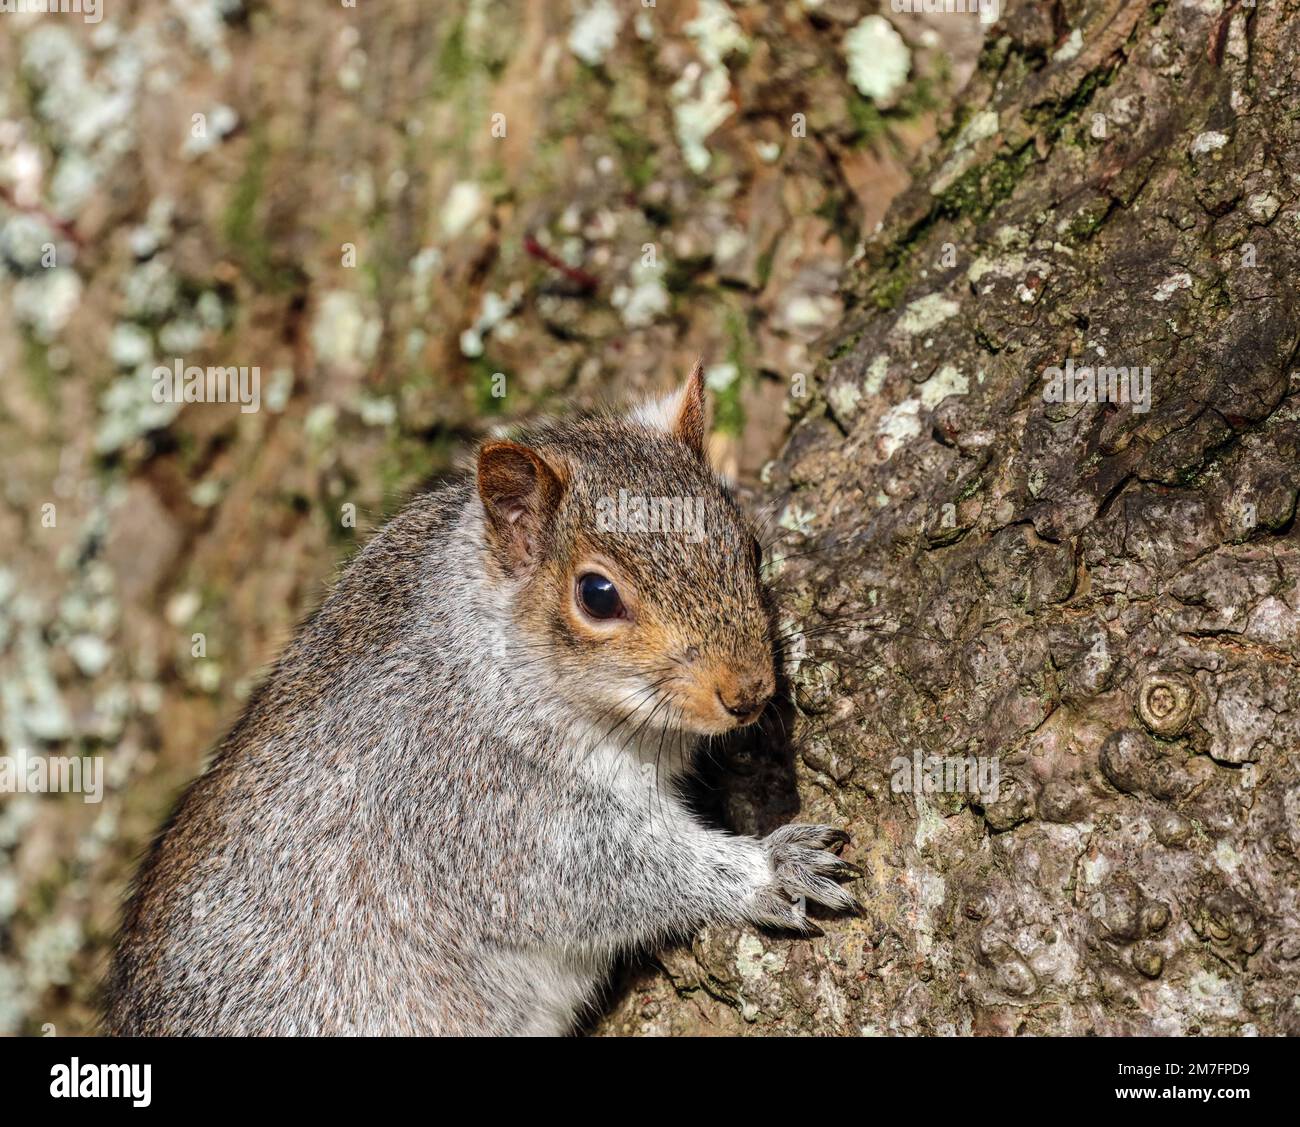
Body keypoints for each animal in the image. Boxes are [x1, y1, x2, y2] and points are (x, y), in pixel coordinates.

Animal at [106, 366, 857, 1034]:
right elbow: (594, 878)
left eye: (750, 545)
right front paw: (770, 869)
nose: (749, 693)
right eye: (597, 595)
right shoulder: (465, 802)